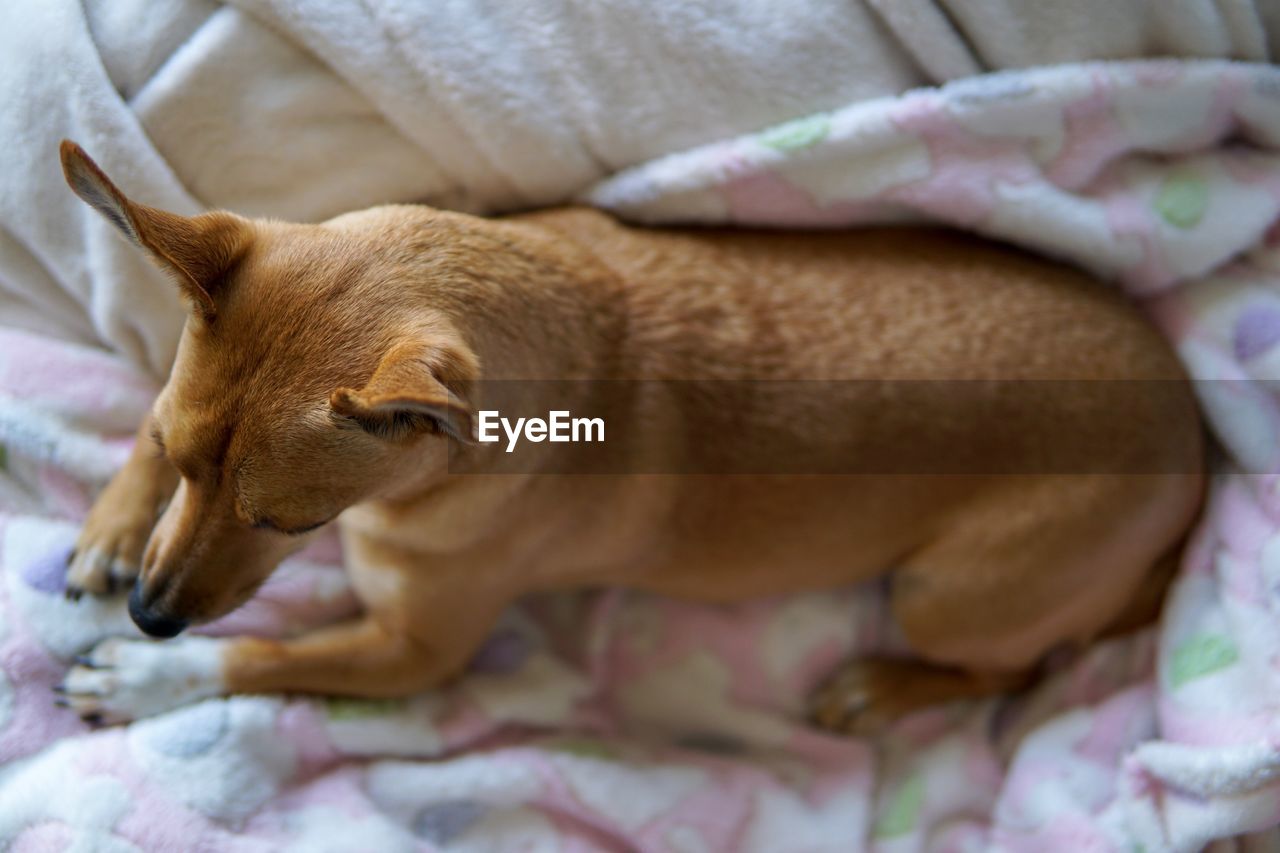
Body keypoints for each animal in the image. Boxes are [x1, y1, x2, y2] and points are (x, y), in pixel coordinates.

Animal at [57, 140, 1198, 732]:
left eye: (290, 523)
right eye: (180, 457)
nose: (153, 615)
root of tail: (1194, 440)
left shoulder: (412, 655)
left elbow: (265, 655)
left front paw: (153, 678)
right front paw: (114, 528)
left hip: (944, 593)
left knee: (1021, 668)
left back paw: (882, 686)